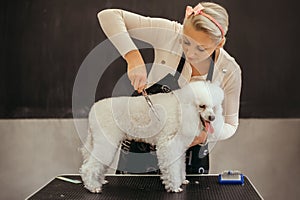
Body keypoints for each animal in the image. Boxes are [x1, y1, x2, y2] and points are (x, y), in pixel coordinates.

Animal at [78, 80, 224, 193]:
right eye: (202, 106)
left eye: (214, 107)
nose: (212, 117)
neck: (181, 109)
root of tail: (93, 110)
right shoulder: (168, 146)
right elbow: (172, 168)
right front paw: (174, 187)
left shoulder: (178, 147)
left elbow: (180, 165)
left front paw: (182, 180)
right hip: (106, 141)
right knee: (88, 167)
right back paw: (93, 187)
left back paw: (97, 181)